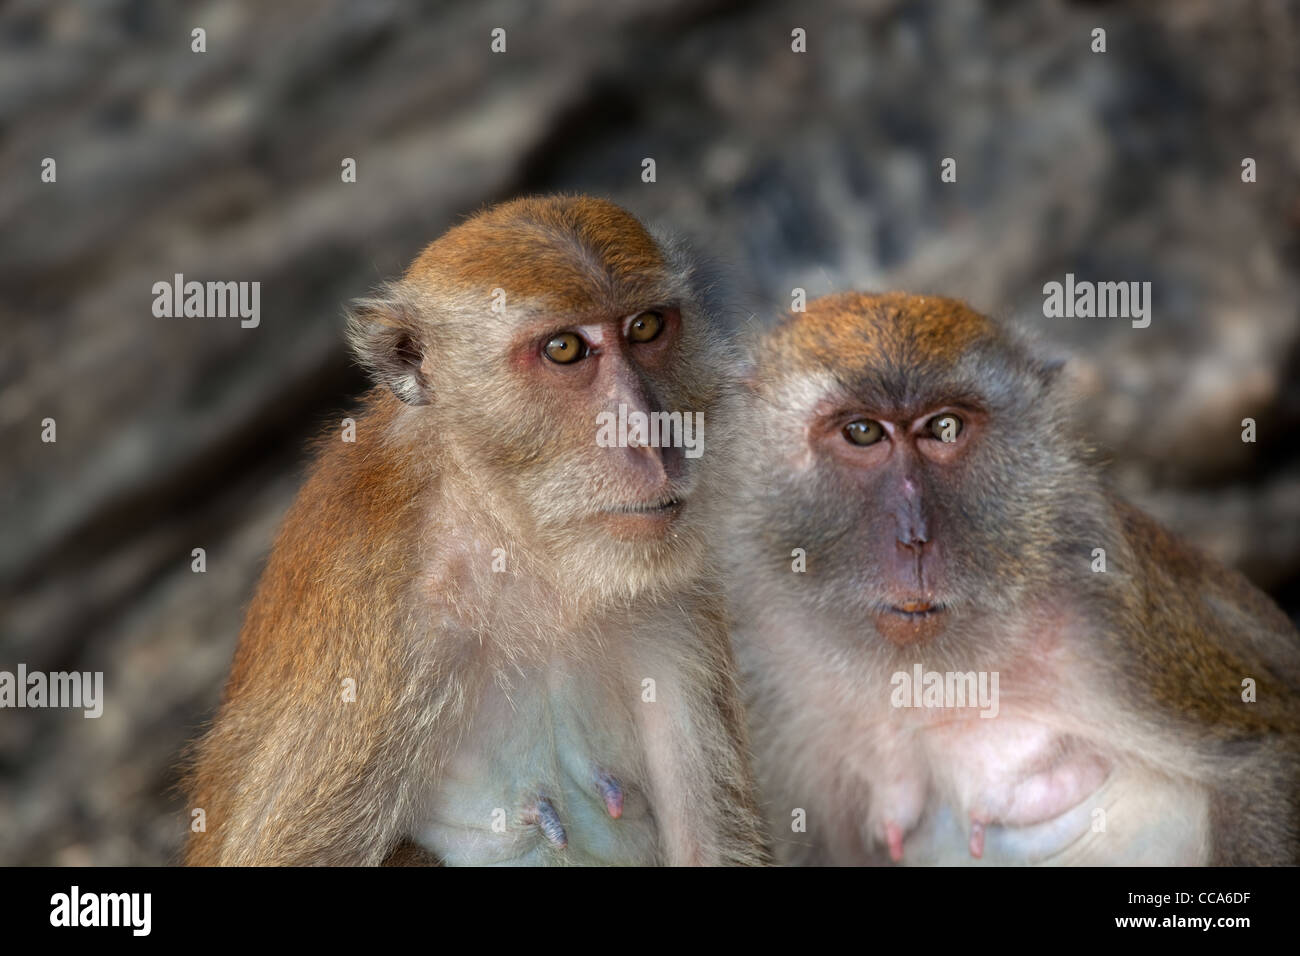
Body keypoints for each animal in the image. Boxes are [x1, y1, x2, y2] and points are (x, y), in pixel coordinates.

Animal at [188, 196, 764, 868]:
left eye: (646, 328)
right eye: (565, 348)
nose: (654, 438)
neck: (518, 546)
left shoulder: (674, 602)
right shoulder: (379, 629)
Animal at [728, 291, 1300, 868]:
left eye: (944, 427)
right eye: (862, 432)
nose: (914, 537)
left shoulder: (1105, 612)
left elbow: (1259, 761)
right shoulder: (761, 655)